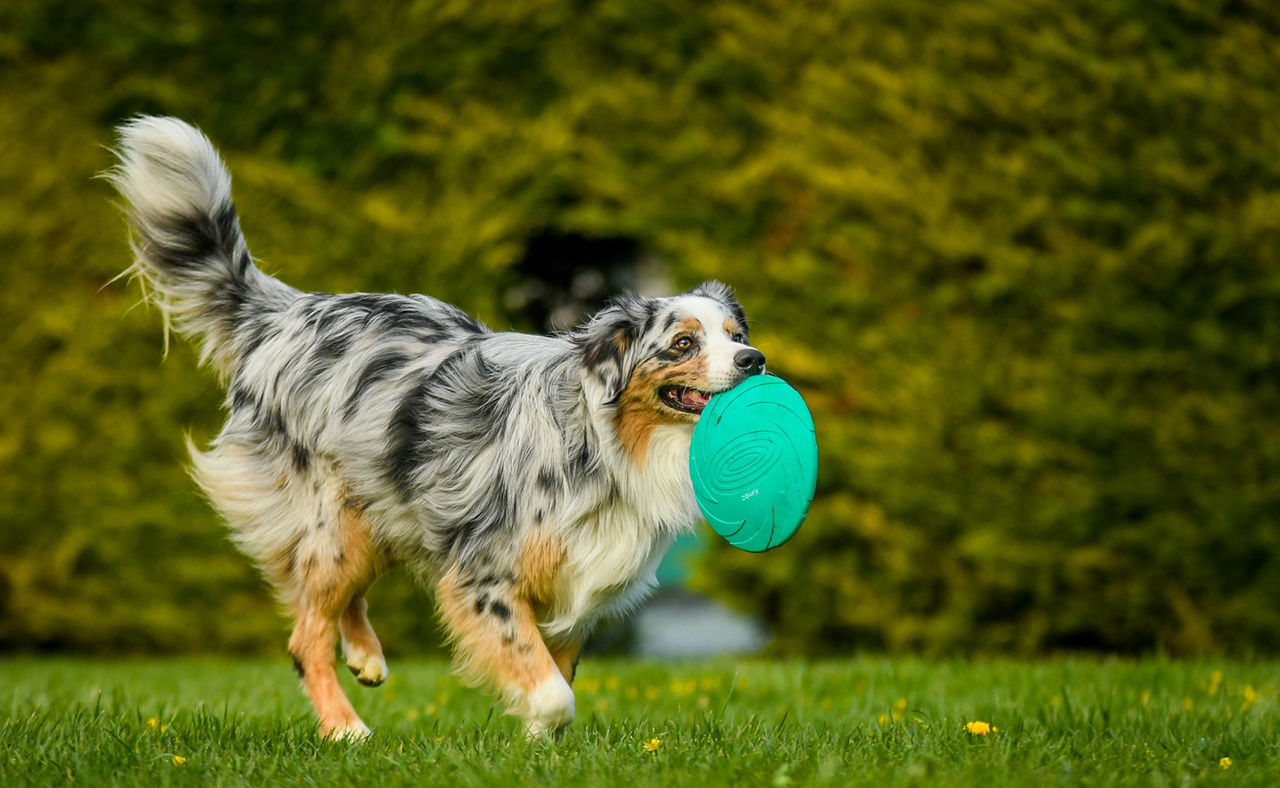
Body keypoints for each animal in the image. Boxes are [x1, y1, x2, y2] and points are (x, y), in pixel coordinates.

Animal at [107, 117, 757, 736]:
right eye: (683, 343)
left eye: (735, 334)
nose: (755, 360)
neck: (607, 441)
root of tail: (286, 313)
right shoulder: (485, 576)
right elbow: (553, 694)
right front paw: (535, 725)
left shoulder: (580, 589)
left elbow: (559, 678)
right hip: (330, 521)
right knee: (304, 636)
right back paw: (345, 730)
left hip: (383, 507)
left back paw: (366, 656)